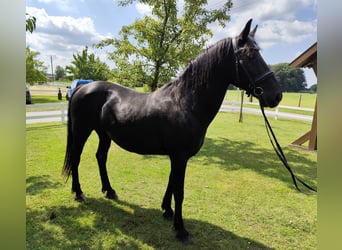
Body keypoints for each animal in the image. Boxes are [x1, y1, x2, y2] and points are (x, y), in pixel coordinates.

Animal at [62, 19, 282, 242]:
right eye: (250, 55)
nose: (276, 95)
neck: (185, 102)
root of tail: (82, 88)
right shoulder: (180, 156)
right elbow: (179, 190)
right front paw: (181, 230)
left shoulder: (177, 157)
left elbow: (171, 182)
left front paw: (167, 210)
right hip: (81, 132)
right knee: (76, 159)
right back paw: (79, 193)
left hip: (104, 135)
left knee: (100, 157)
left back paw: (109, 190)